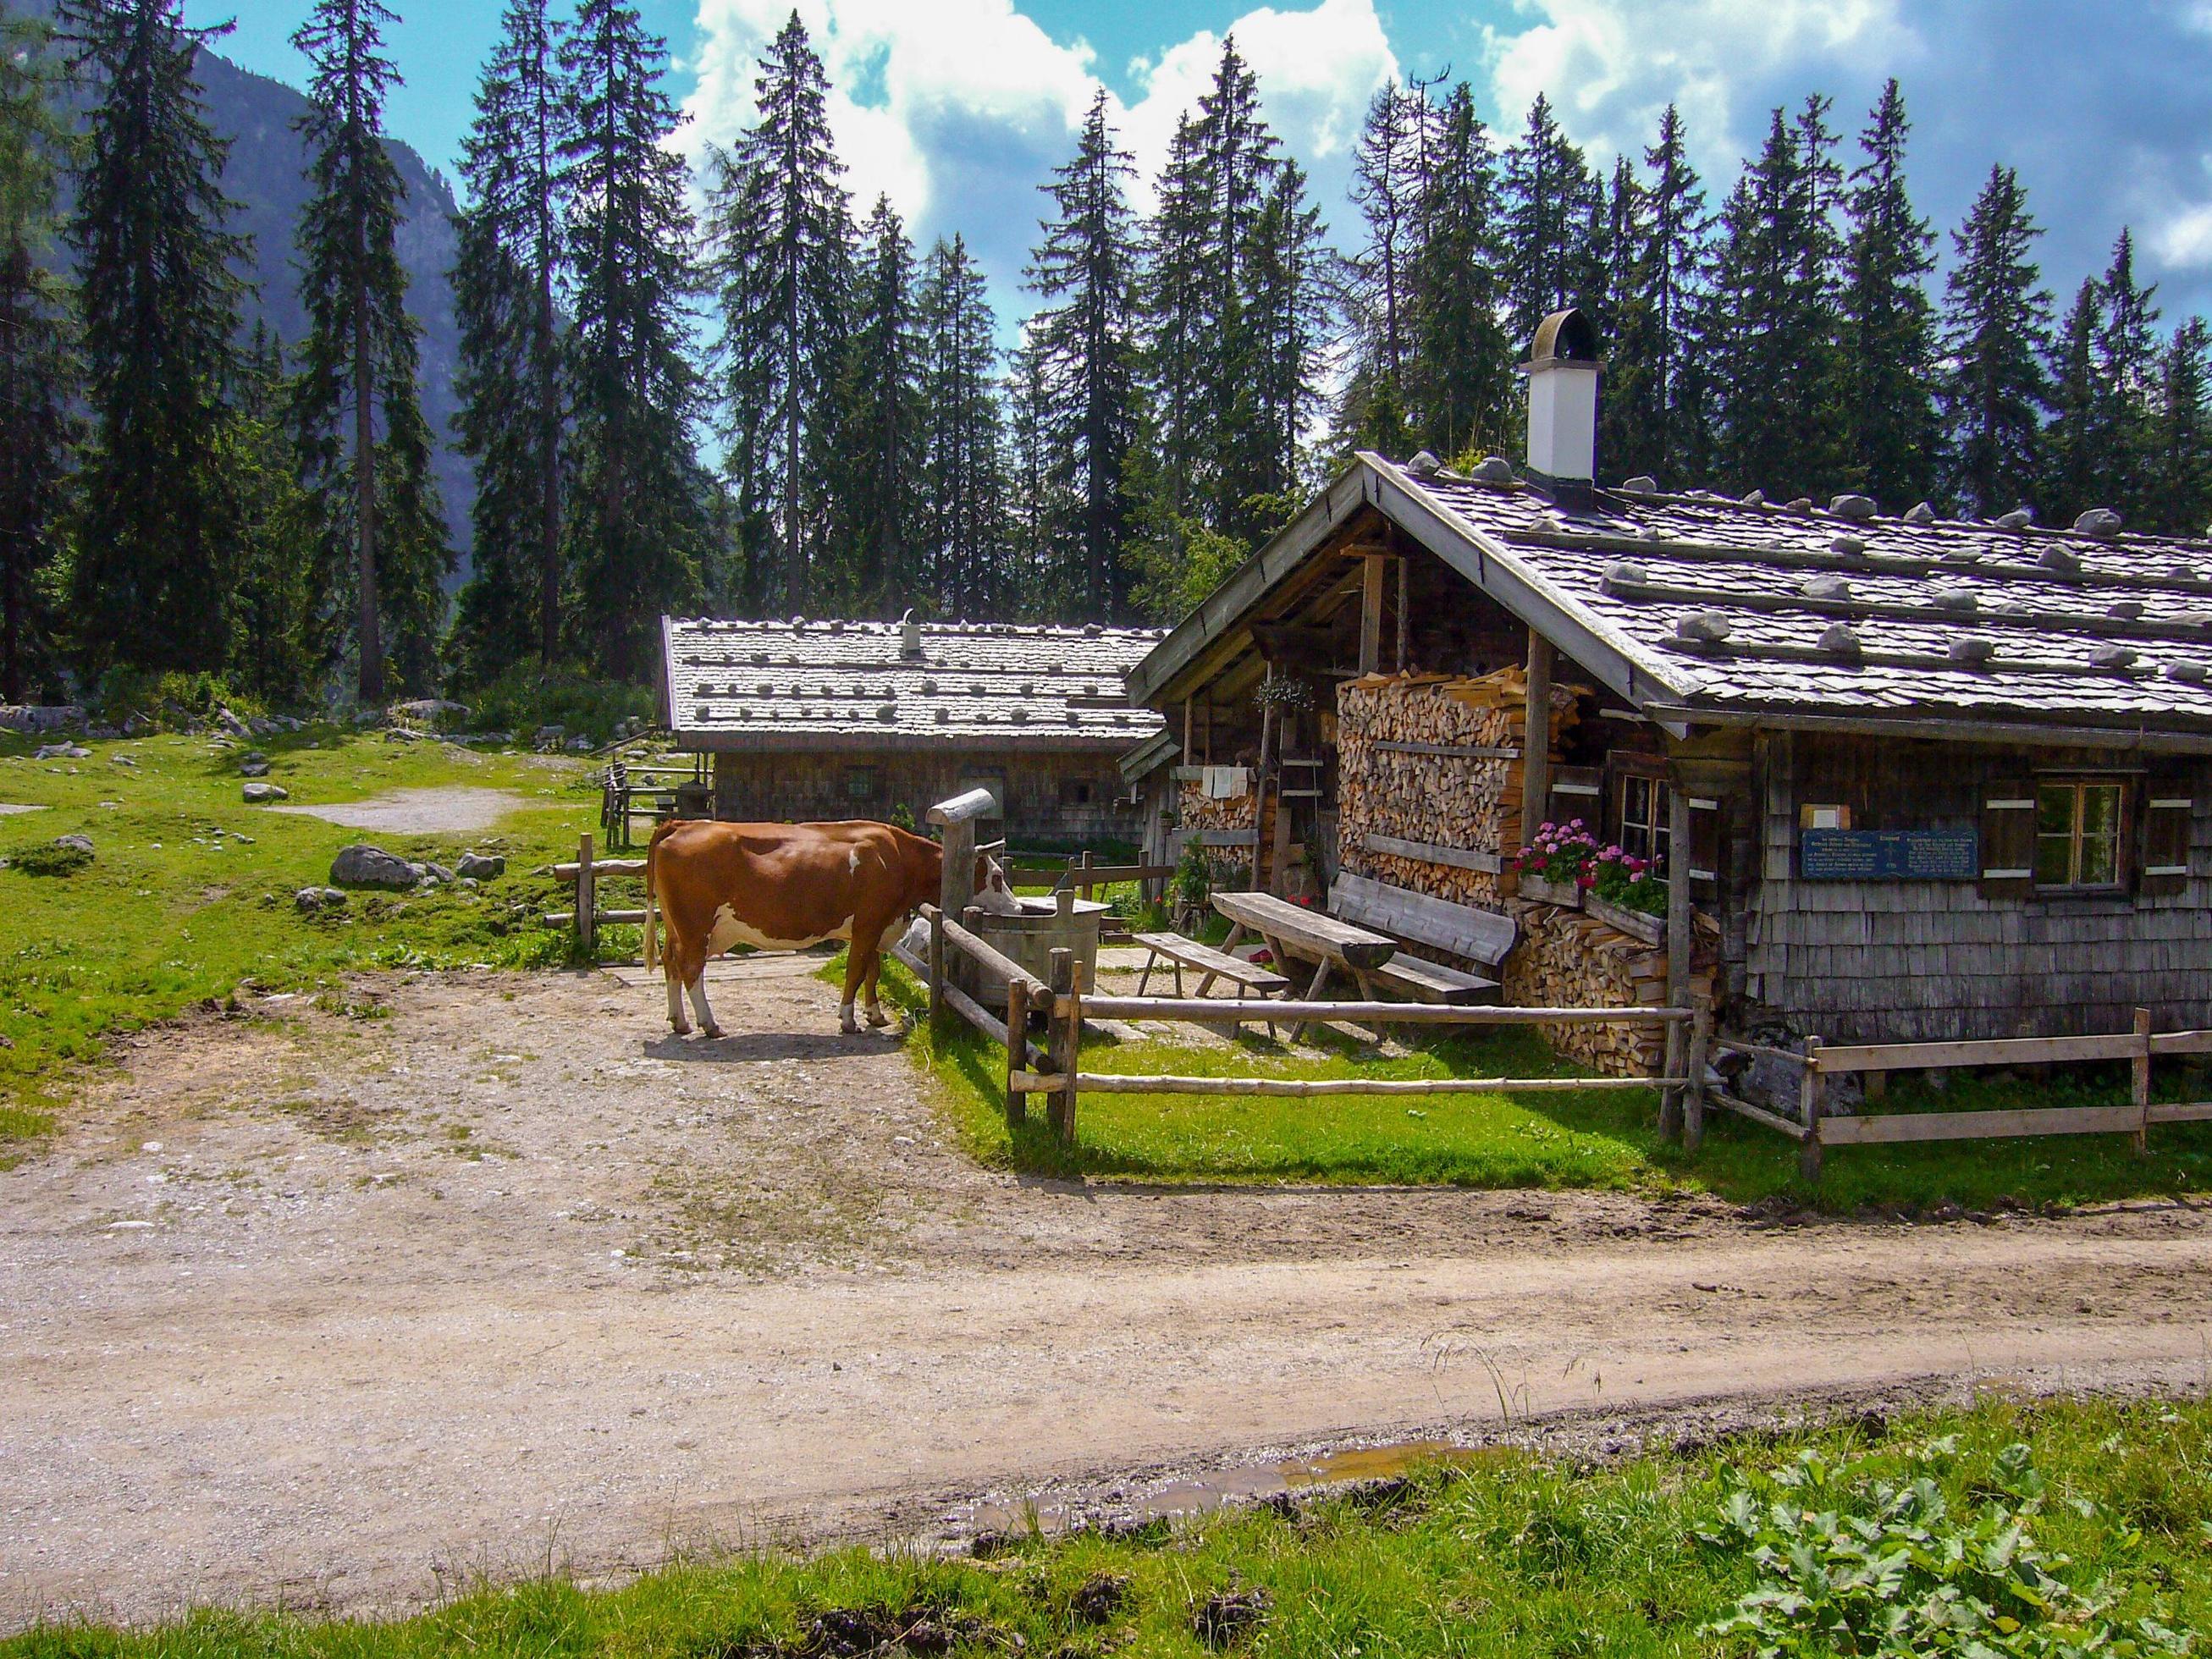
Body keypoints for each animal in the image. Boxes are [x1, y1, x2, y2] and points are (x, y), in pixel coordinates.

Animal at [641, 823, 1017, 1039]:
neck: (898, 857)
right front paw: (848, 1020)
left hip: (676, 926)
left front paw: (875, 1015)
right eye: (997, 877)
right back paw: (709, 1024)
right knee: (691, 969)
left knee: (671, 964)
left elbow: (872, 972)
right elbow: (855, 971)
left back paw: (680, 1021)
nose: (1017, 910)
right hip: (695, 927)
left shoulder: (874, 927)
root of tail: (682, 824)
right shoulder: (868, 924)